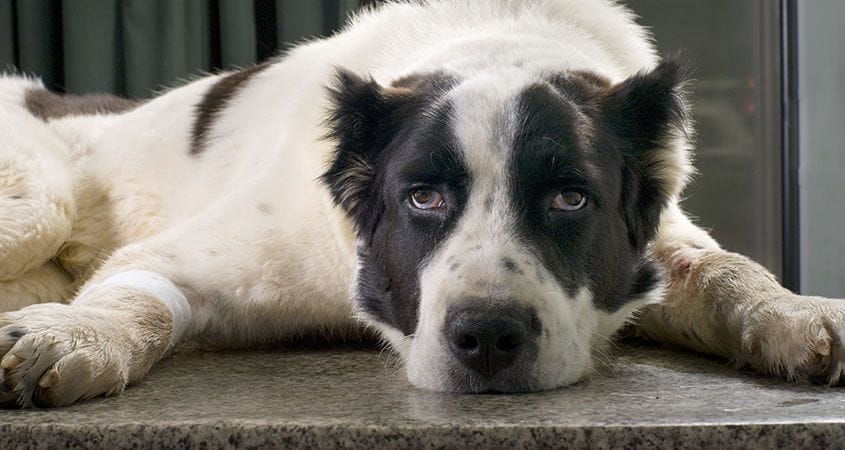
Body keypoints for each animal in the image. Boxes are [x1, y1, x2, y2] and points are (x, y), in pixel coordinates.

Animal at [1, 0, 844, 408]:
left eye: (570, 198)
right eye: (424, 196)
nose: (489, 337)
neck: (497, 38)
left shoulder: (658, 247)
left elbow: (727, 270)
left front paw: (796, 310)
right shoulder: (184, 257)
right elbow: (137, 296)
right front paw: (73, 336)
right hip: (37, 206)